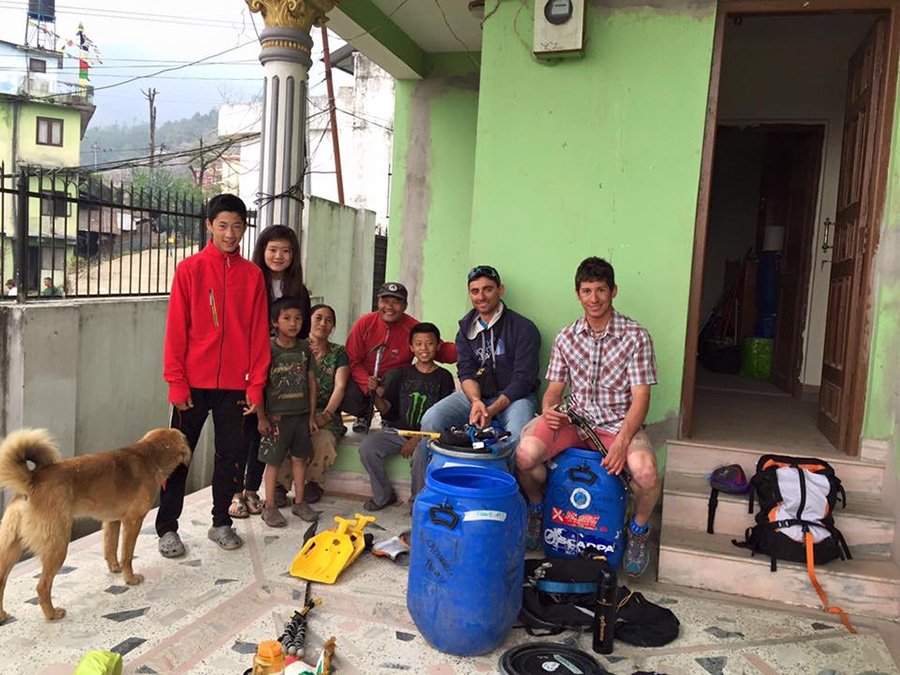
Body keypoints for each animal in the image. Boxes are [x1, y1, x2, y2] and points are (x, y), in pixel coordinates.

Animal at [0, 428, 190, 624]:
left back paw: (2, 615)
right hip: (57, 546)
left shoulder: (112, 521)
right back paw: (52, 614)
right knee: (42, 586)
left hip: (12, 547)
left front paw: (115, 568)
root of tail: (32, 480)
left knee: (1, 580)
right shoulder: (133, 522)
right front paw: (130, 578)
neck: (150, 455)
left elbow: (111, 548)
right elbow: (127, 555)